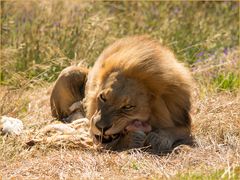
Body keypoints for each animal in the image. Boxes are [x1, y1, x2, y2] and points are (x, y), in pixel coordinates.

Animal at [49, 35, 194, 153]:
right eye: (103, 97)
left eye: (128, 107)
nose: (101, 127)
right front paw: (134, 138)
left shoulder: (182, 117)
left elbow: (179, 130)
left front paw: (159, 137)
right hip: (70, 72)